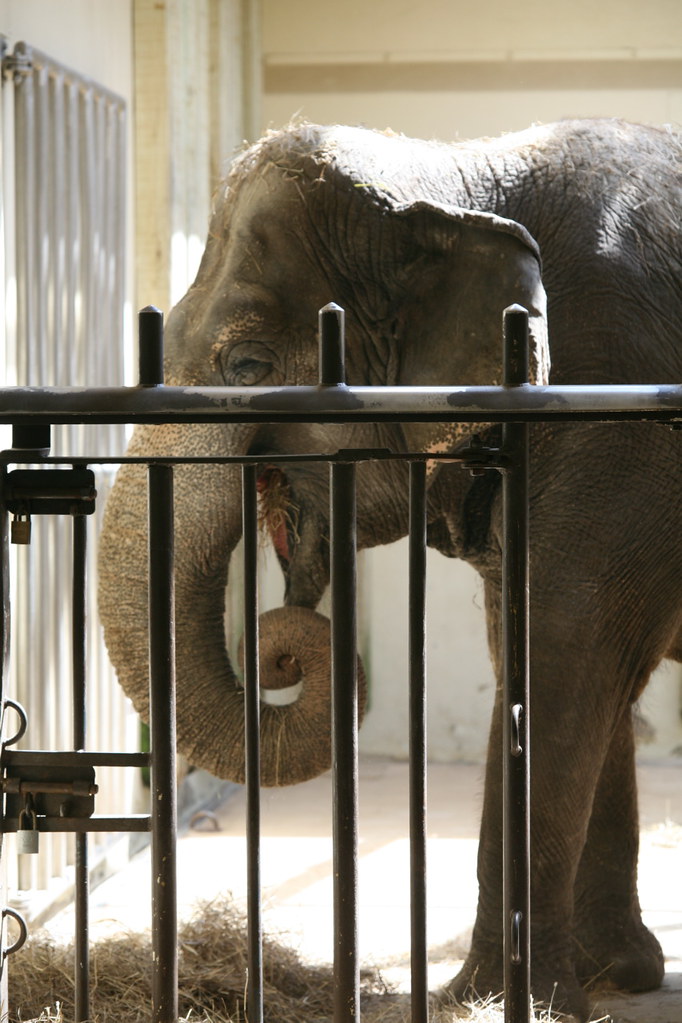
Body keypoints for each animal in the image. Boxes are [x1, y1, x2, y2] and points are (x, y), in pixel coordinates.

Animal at [98, 118, 682, 1020]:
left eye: (249, 368)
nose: (283, 649)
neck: (456, 173)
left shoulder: (620, 414)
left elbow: (564, 648)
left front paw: (489, 999)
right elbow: (545, 649)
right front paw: (613, 976)